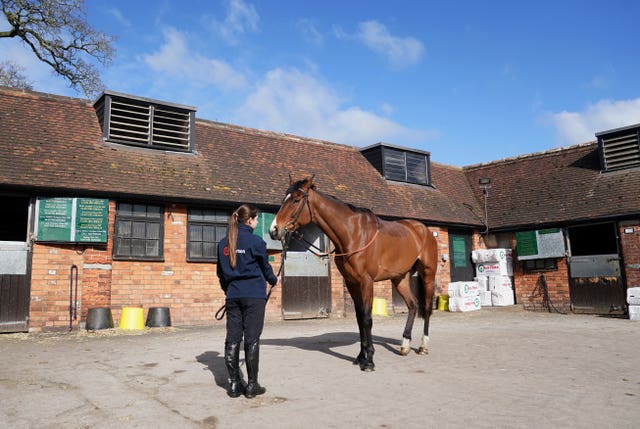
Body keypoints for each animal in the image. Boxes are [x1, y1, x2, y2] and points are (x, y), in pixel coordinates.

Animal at [268, 176, 438, 370]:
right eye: (284, 199)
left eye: (296, 200)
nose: (274, 230)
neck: (353, 233)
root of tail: (423, 229)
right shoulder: (351, 282)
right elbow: (359, 318)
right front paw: (361, 356)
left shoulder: (366, 282)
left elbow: (367, 318)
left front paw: (369, 360)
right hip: (400, 278)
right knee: (412, 305)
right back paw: (405, 346)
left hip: (428, 275)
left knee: (426, 308)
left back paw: (423, 347)